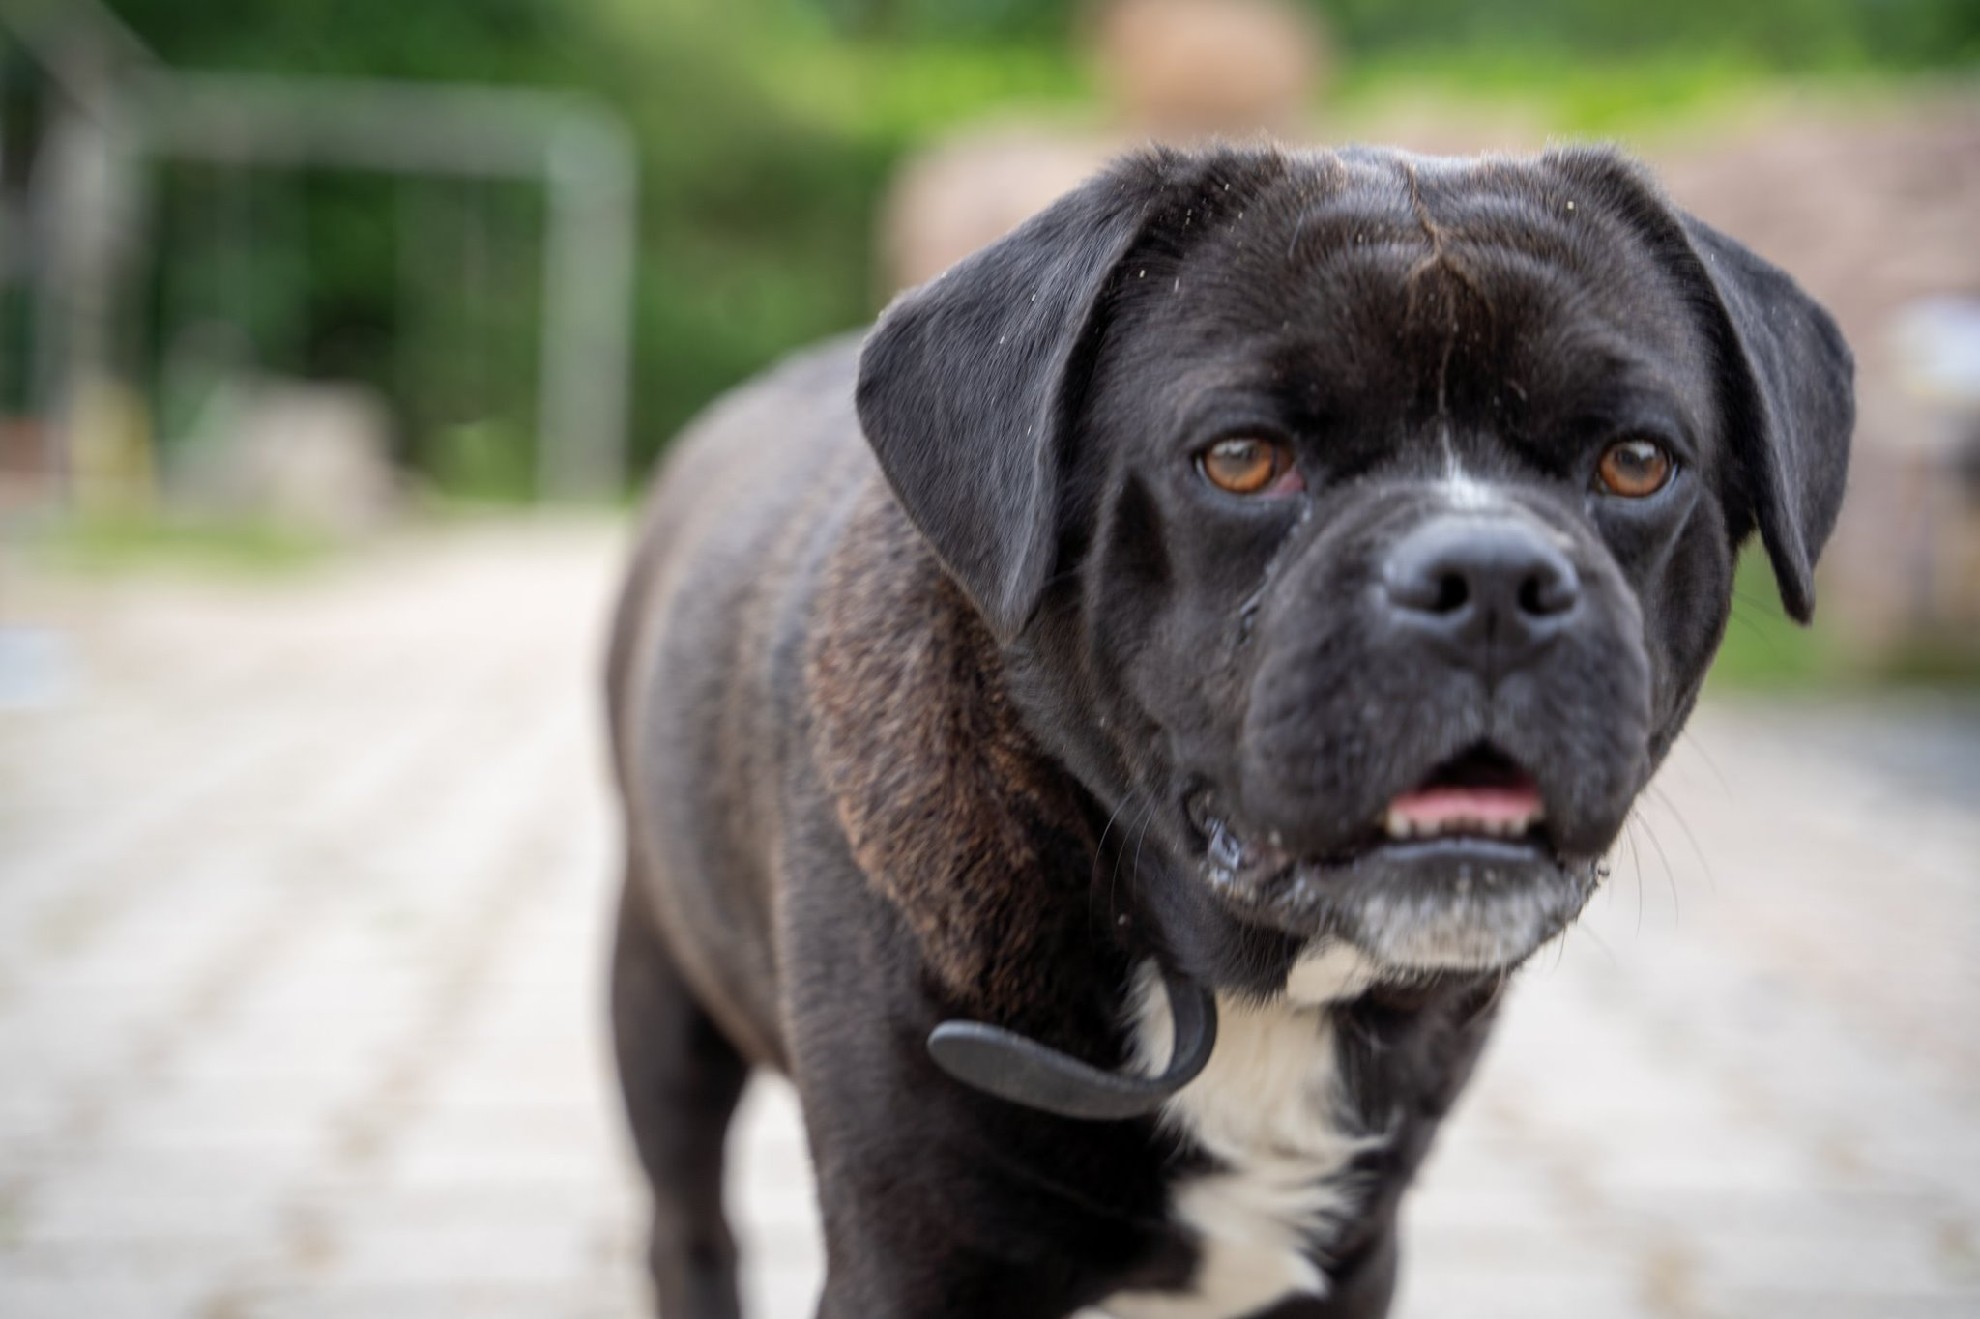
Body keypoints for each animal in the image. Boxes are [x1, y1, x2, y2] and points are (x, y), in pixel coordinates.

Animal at [601, 143, 1853, 1315]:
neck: (1248, 982)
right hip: (659, 1003)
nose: (1491, 575)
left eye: (1636, 463)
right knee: (688, 1220)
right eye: (1244, 459)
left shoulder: (1347, 1260)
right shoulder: (920, 1261)